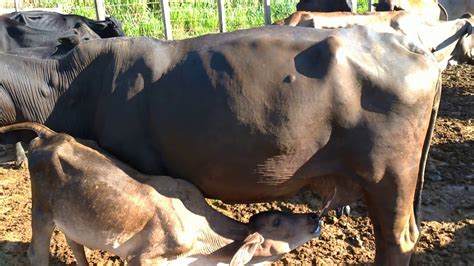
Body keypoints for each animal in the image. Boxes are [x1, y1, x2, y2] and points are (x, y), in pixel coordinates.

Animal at [0, 123, 320, 266]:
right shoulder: (141, 258)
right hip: (41, 211)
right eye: (277, 223)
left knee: (75, 245)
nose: (315, 218)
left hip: (71, 216)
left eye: (281, 213)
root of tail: (50, 134)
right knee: (36, 252)